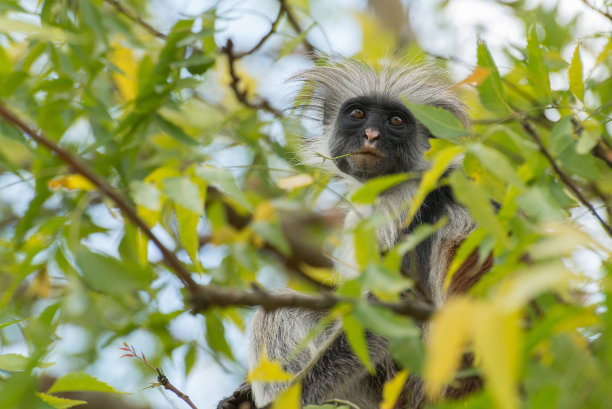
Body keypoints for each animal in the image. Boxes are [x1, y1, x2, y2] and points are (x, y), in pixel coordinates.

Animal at [216, 56, 492, 408]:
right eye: (357, 114)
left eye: (396, 120)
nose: (371, 135)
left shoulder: (398, 207)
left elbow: (393, 308)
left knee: (276, 314)